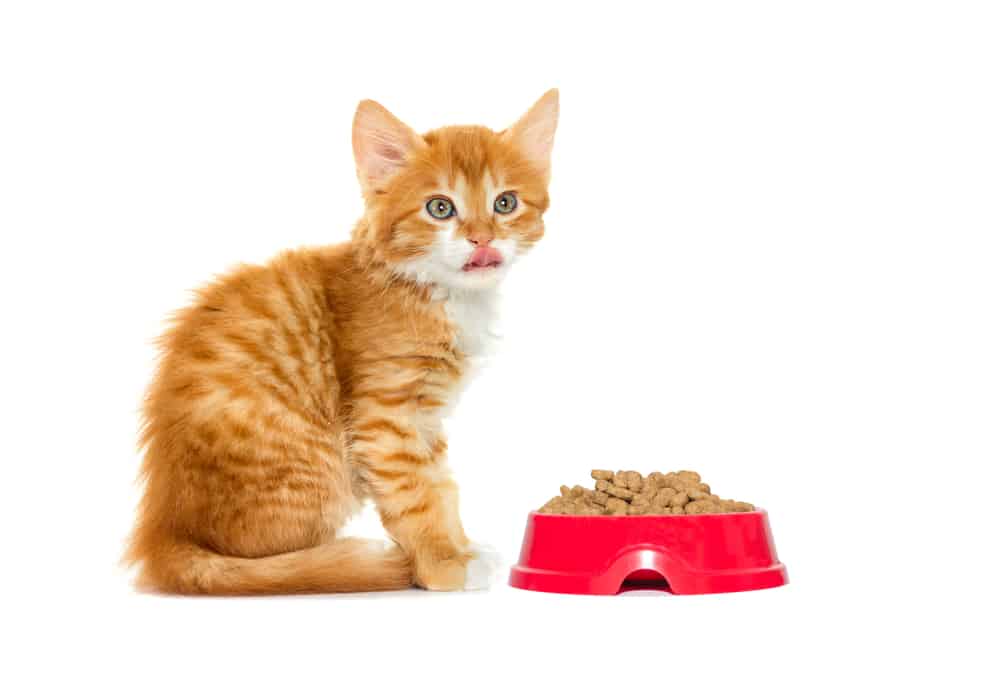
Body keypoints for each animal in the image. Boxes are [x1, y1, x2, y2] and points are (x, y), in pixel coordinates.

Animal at [125, 91, 560, 596]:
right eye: (440, 208)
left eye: (505, 202)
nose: (482, 238)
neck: (434, 290)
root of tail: (165, 531)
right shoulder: (385, 416)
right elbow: (417, 494)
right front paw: (444, 565)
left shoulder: (425, 420)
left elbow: (441, 486)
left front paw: (459, 547)